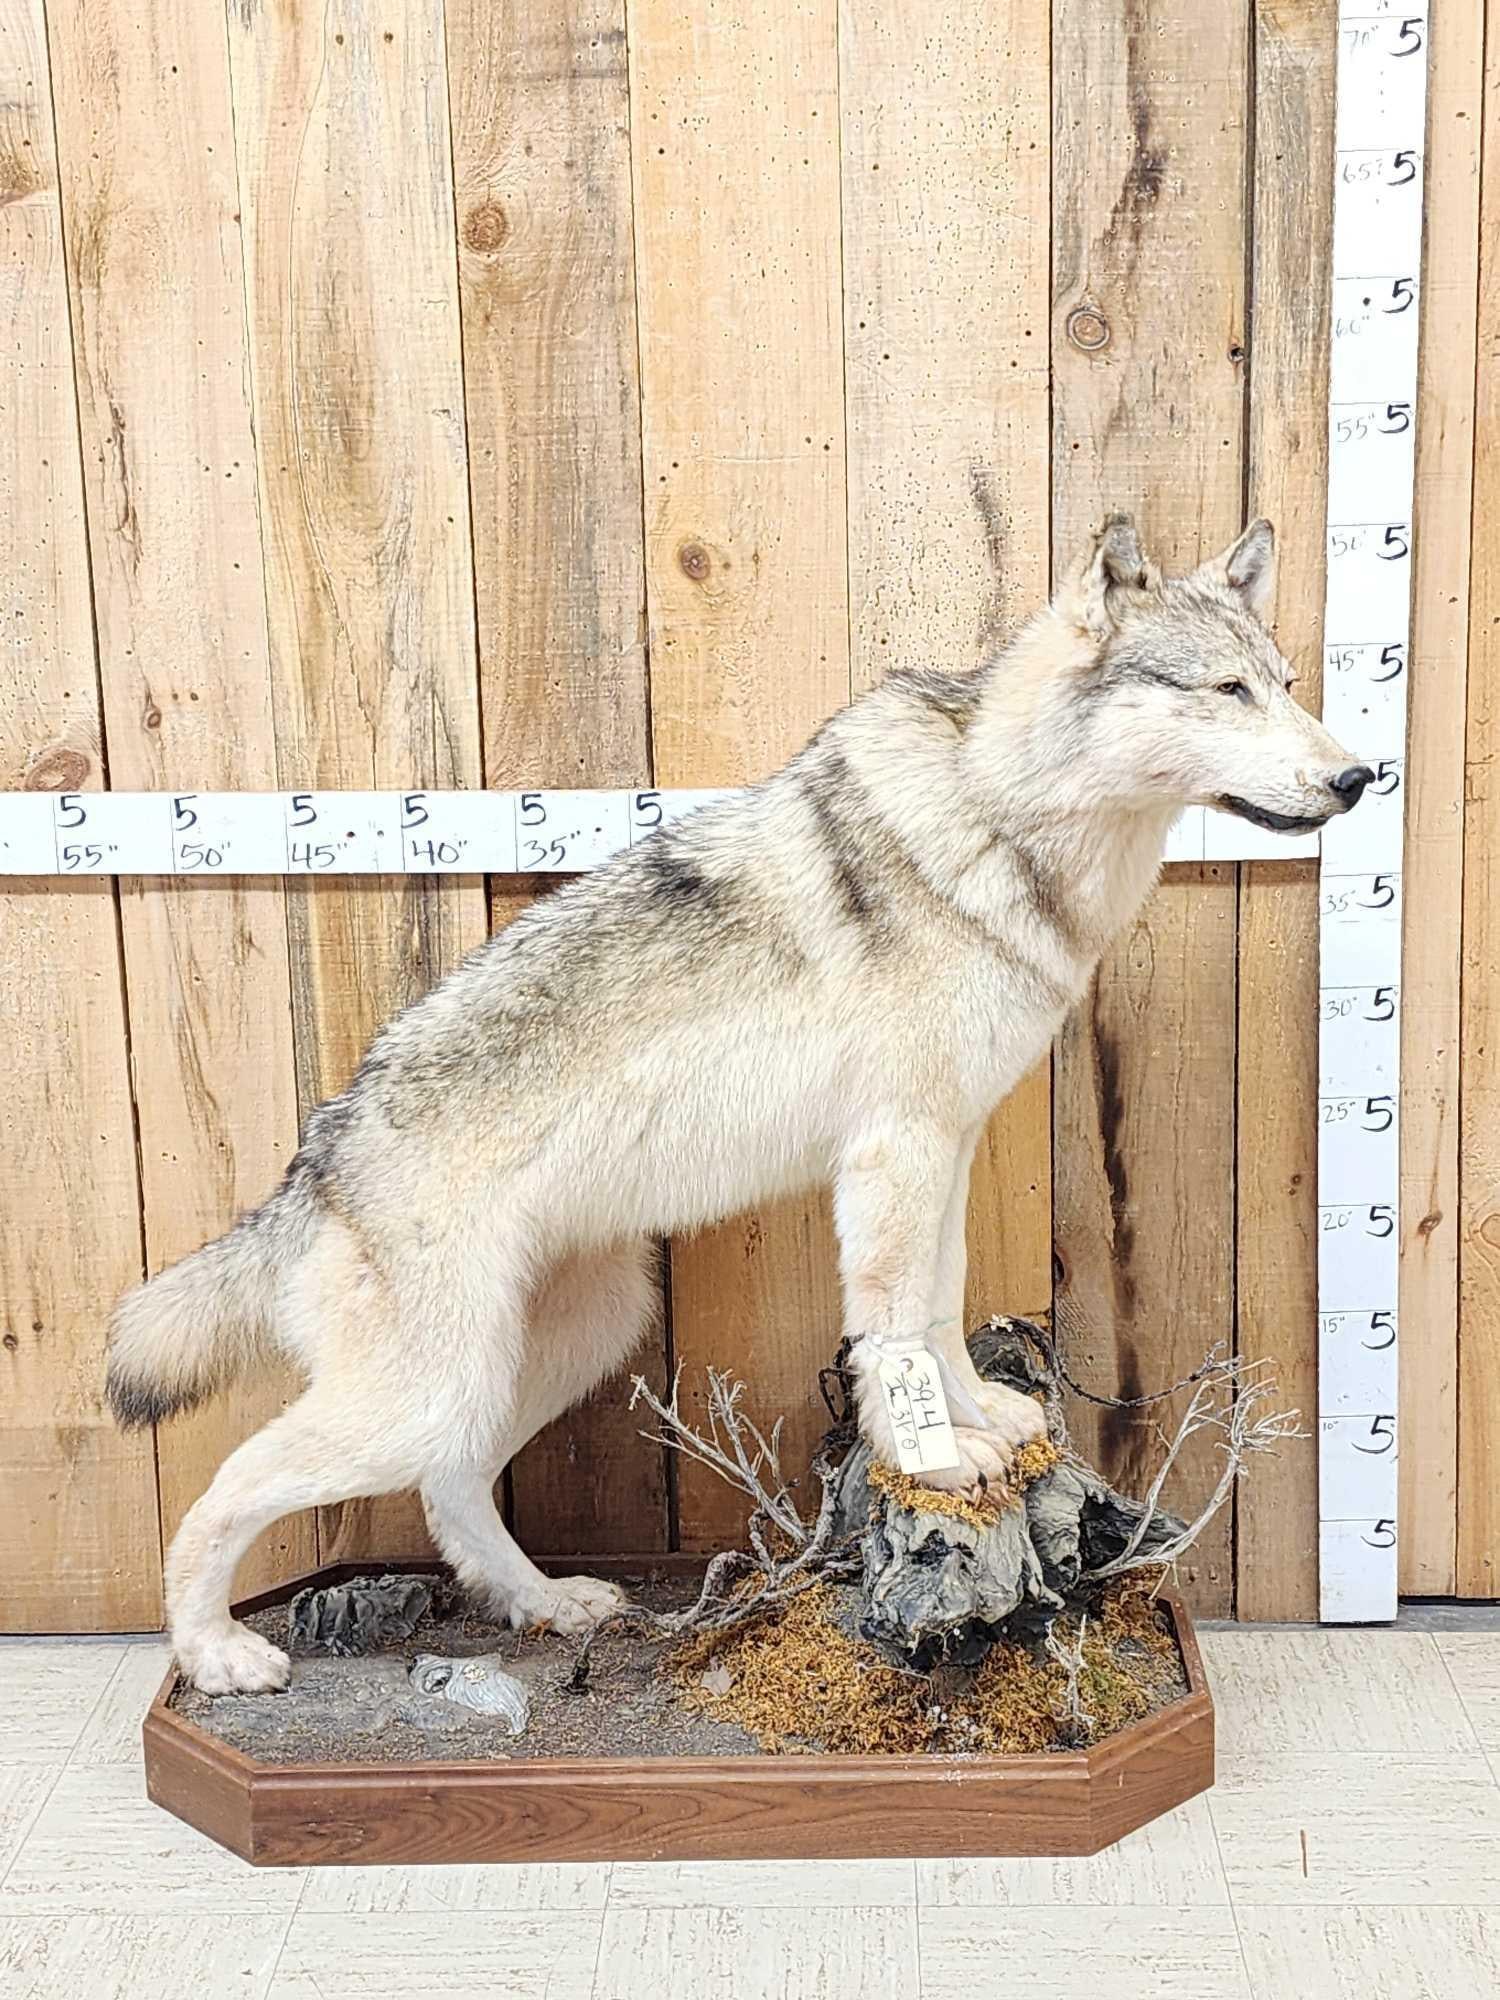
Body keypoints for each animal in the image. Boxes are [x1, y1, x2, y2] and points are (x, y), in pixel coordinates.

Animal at [106, 513, 1370, 1694]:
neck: (998, 821)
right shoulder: (897, 1151)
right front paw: (931, 1455)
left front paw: (975, 1420)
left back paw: (547, 1603)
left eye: (1289, 686)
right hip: (431, 1392)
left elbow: (940, 1306)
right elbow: (894, 1325)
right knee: (220, 1493)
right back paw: (214, 1653)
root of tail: (318, 1153)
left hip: (558, 1344)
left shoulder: (943, 1148)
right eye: (1227, 690)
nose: (1359, 777)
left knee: (453, 1490)